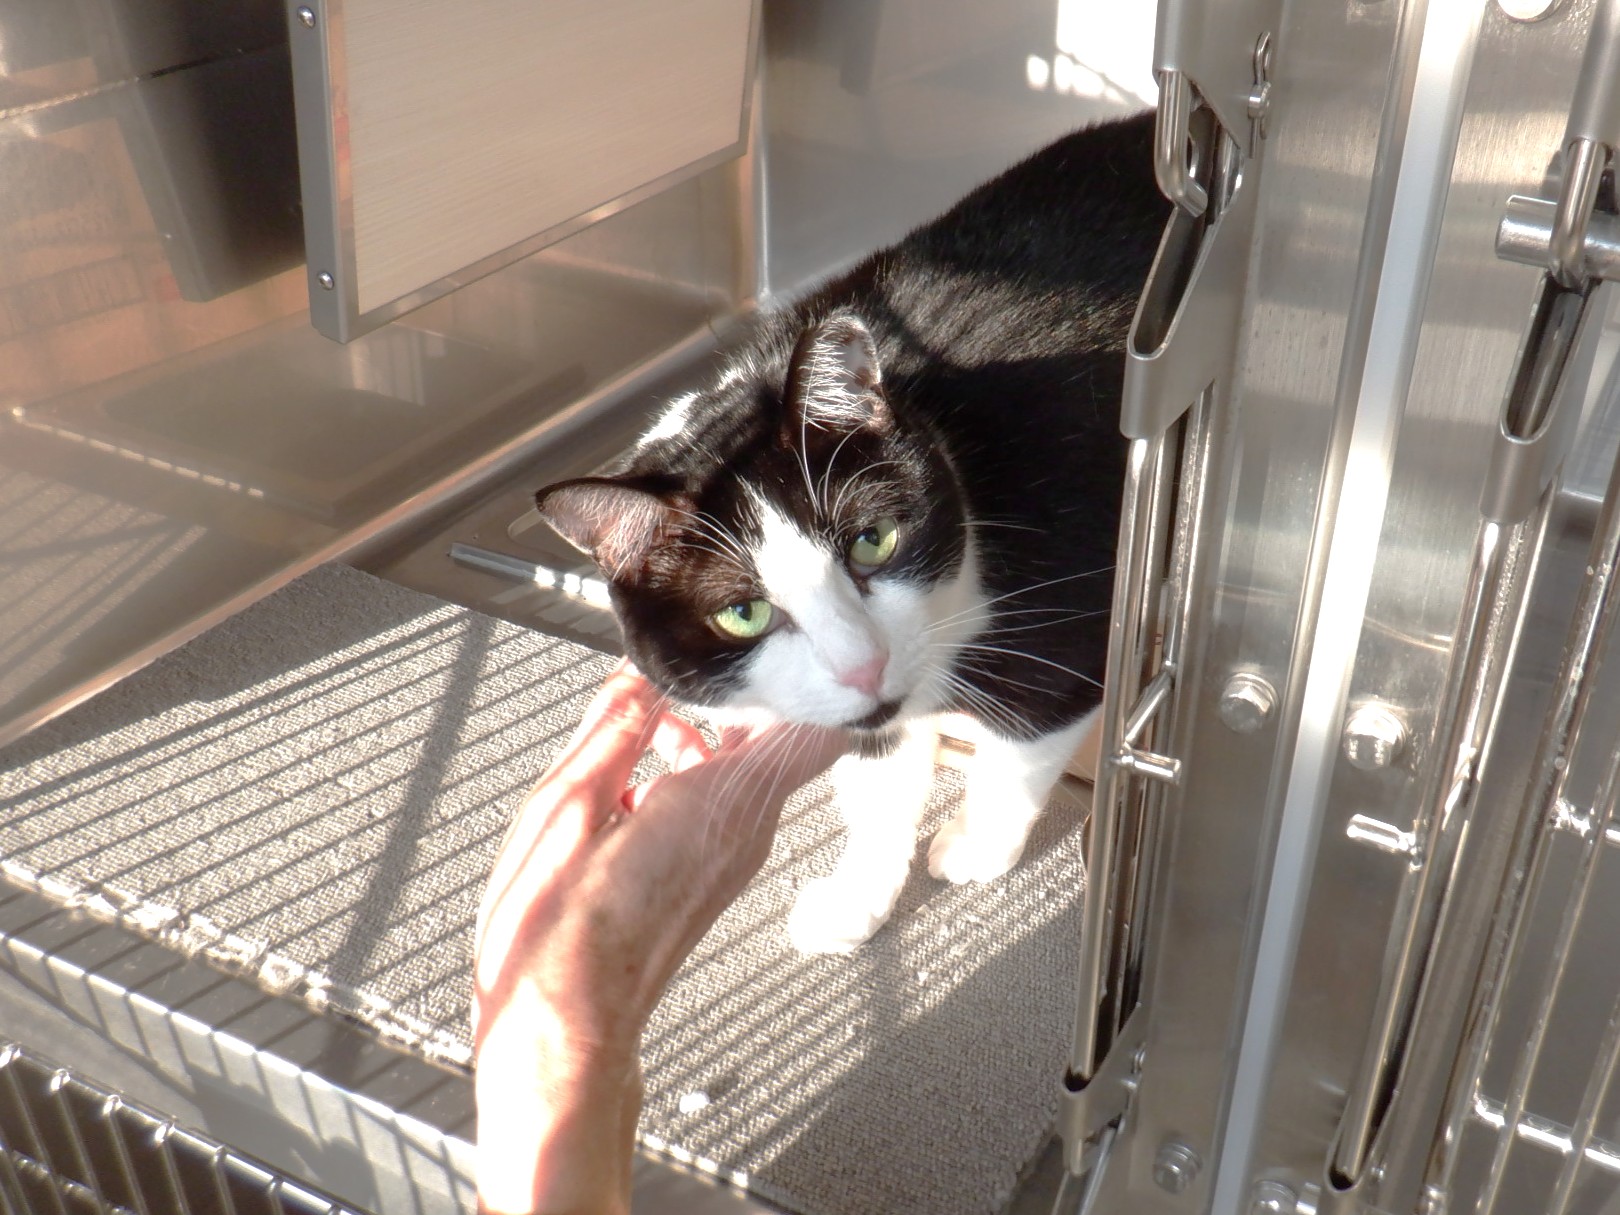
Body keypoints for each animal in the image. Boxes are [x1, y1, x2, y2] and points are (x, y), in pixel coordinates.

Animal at [534, 112, 1165, 953]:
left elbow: (1024, 737)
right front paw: (859, 890)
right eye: (743, 612)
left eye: (873, 541)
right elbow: (877, 776)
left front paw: (977, 843)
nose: (865, 666)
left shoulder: (1065, 593)